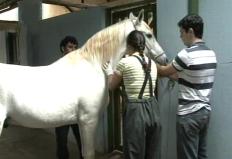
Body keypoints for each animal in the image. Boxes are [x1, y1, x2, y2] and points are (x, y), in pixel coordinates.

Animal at [0, 10, 167, 159]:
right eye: (149, 34)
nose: (164, 59)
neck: (93, 65)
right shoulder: (89, 120)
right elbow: (88, 153)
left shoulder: (81, 122)